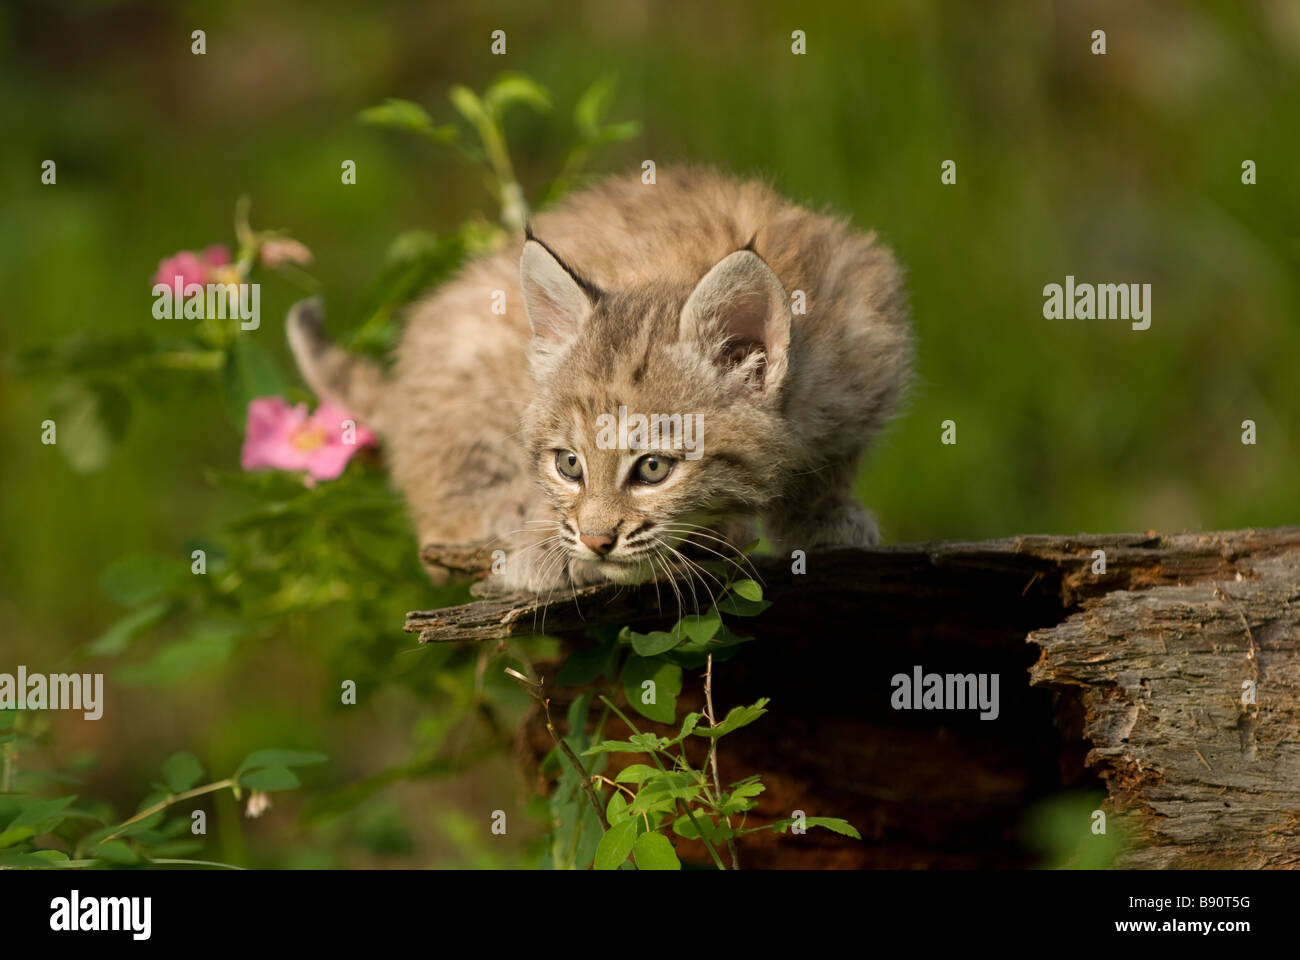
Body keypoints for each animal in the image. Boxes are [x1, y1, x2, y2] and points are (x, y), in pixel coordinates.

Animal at [288, 167, 909, 595]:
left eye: (653, 468)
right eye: (569, 465)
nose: (596, 542)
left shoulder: (872, 332)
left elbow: (834, 459)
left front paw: (819, 513)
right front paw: (552, 543)